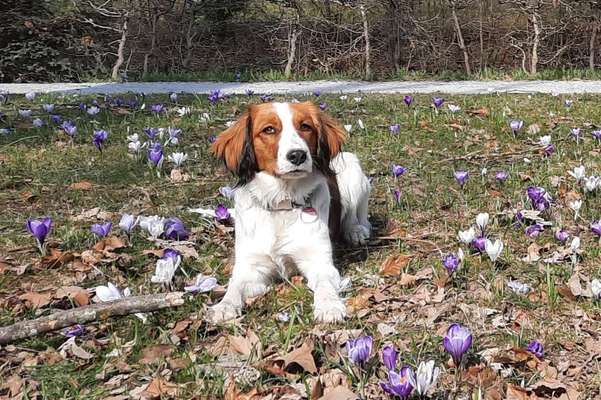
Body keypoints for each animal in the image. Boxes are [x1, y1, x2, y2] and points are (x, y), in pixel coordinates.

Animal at [211, 101, 370, 324]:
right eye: (269, 129)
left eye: (305, 126)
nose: (298, 155)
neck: (282, 203)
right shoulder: (251, 267)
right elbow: (235, 285)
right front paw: (224, 306)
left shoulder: (319, 262)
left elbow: (324, 285)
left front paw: (329, 305)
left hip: (352, 168)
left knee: (355, 215)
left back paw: (355, 230)